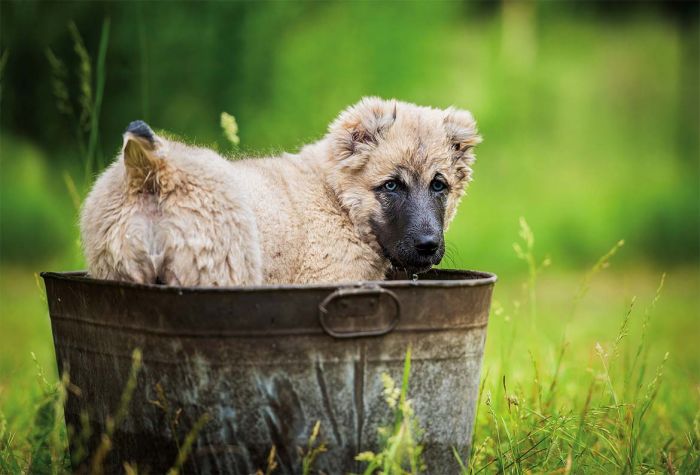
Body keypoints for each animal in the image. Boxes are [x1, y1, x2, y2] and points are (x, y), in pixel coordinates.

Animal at [79, 97, 478, 286]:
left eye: (439, 185)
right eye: (391, 185)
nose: (427, 245)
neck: (337, 200)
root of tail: (153, 170)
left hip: (116, 273)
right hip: (221, 271)